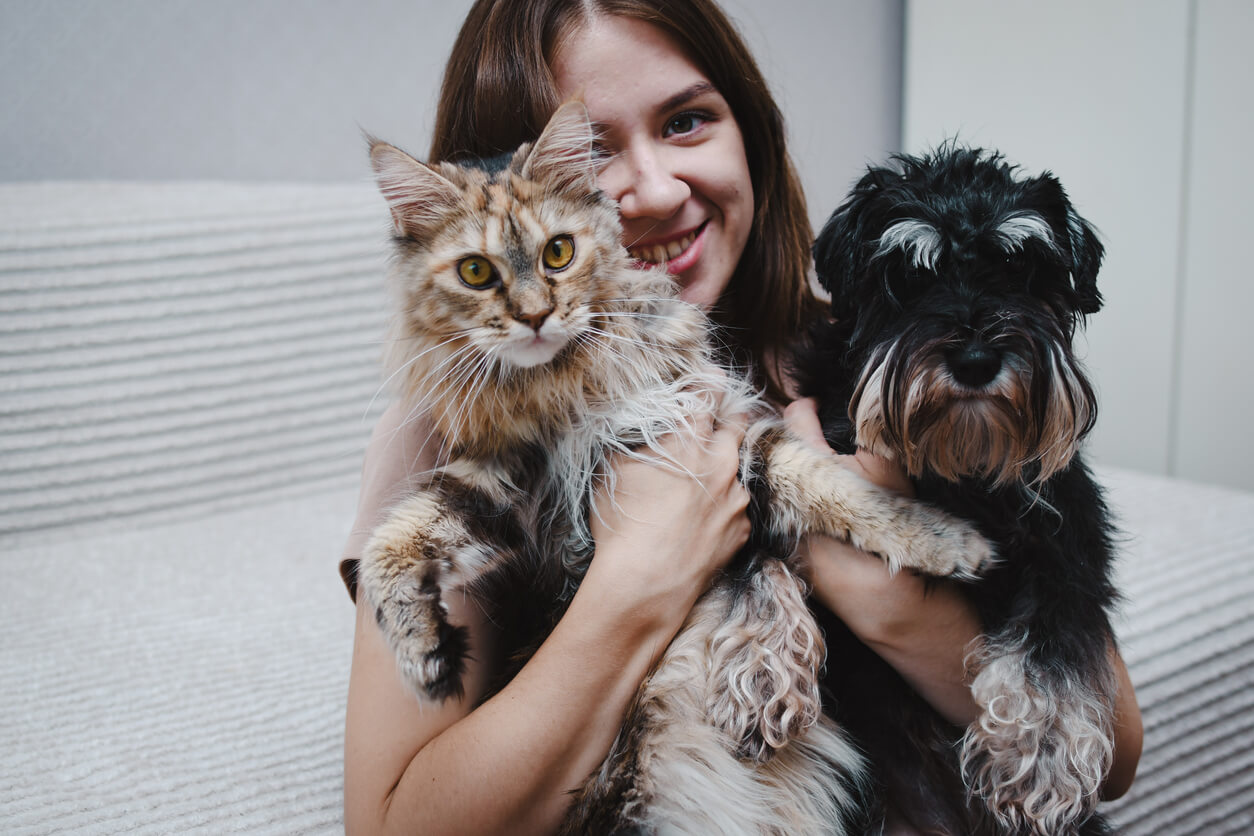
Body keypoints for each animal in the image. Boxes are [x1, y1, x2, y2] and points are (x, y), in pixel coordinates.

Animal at [358, 104, 993, 836]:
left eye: (557, 254)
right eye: (475, 272)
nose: (535, 316)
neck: (567, 388)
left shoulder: (729, 432)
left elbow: (834, 490)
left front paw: (945, 539)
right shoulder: (512, 477)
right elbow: (390, 541)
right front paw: (423, 654)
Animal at [802, 147, 1128, 832]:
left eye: (1020, 270)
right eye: (908, 277)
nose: (976, 360)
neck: (966, 470)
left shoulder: (1069, 543)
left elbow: (1053, 648)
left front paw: (1042, 759)